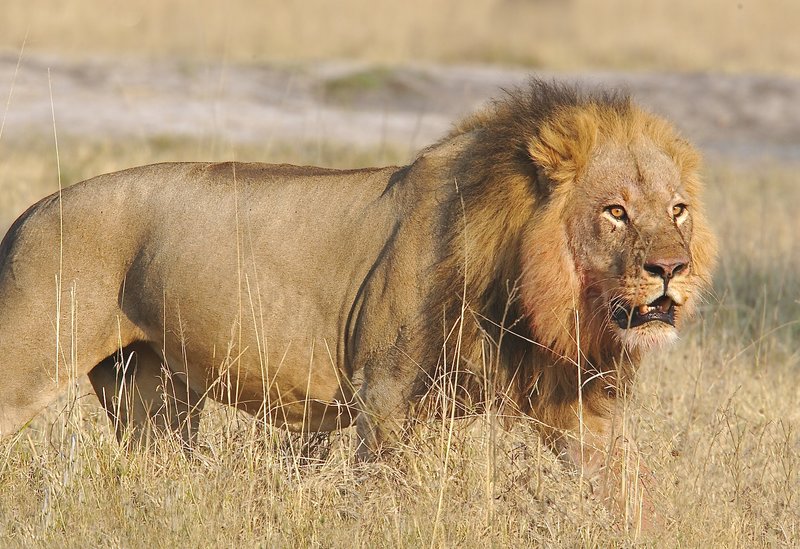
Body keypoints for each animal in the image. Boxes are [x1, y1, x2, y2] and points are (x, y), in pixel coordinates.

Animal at [0, 79, 715, 526]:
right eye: (616, 212)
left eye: (677, 210)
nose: (670, 270)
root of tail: (29, 212)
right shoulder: (387, 397)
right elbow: (389, 498)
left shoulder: (576, 408)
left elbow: (628, 494)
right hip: (30, 364)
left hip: (148, 396)